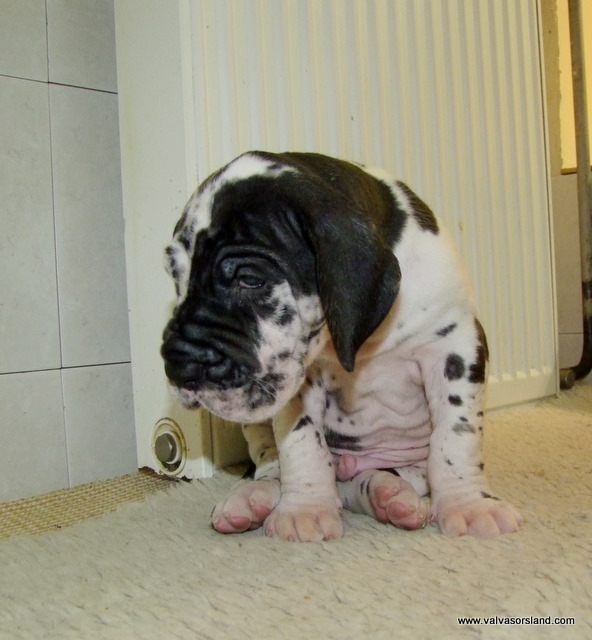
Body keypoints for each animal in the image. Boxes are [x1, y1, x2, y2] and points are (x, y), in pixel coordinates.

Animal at [161, 151, 522, 541]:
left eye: (250, 279)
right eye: (176, 277)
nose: (176, 363)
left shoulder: (455, 346)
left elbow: (455, 435)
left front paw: (468, 503)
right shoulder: (299, 376)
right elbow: (302, 443)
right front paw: (305, 510)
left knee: (377, 478)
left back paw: (389, 494)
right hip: (256, 428)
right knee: (273, 465)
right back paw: (253, 497)